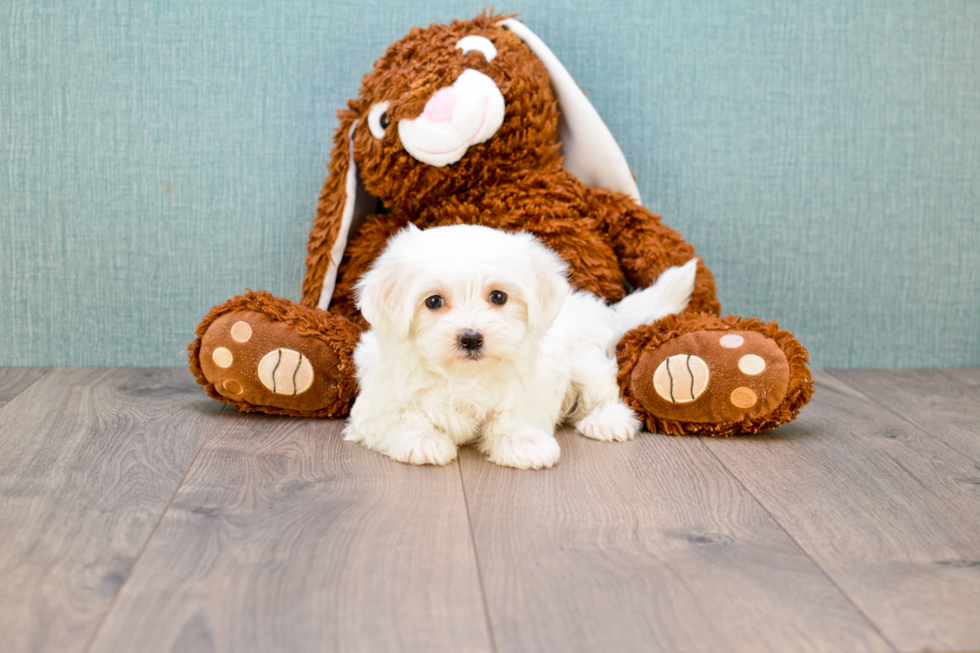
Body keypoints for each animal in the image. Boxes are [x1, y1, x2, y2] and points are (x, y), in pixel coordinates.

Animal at [344, 224, 696, 468]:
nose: (471, 337)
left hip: (586, 360)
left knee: (605, 391)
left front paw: (524, 443)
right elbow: (400, 418)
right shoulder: (377, 404)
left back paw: (607, 420)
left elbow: (513, 415)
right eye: (433, 301)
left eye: (498, 296)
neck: (463, 374)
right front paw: (423, 440)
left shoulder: (528, 386)